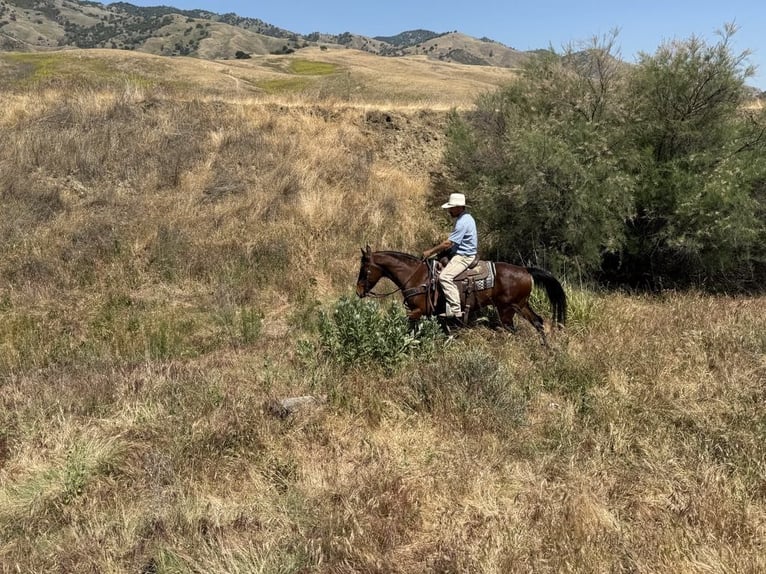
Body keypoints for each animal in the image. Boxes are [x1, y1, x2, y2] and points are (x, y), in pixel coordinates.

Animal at [355, 246, 566, 342]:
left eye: (364, 270)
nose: (358, 292)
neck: (417, 276)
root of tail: (525, 270)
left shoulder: (418, 310)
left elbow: (407, 322)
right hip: (522, 305)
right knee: (538, 322)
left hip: (507, 309)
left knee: (513, 329)